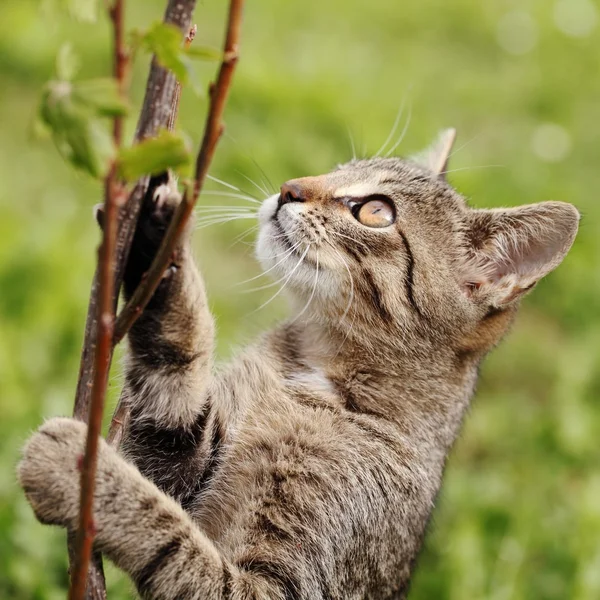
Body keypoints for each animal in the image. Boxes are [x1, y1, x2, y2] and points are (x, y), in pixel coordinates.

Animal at [19, 129, 580, 596]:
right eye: (335, 169)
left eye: (375, 211)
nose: (290, 188)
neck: (309, 371)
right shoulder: (173, 461)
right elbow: (173, 378)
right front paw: (161, 247)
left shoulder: (278, 585)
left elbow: (175, 543)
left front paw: (81, 471)